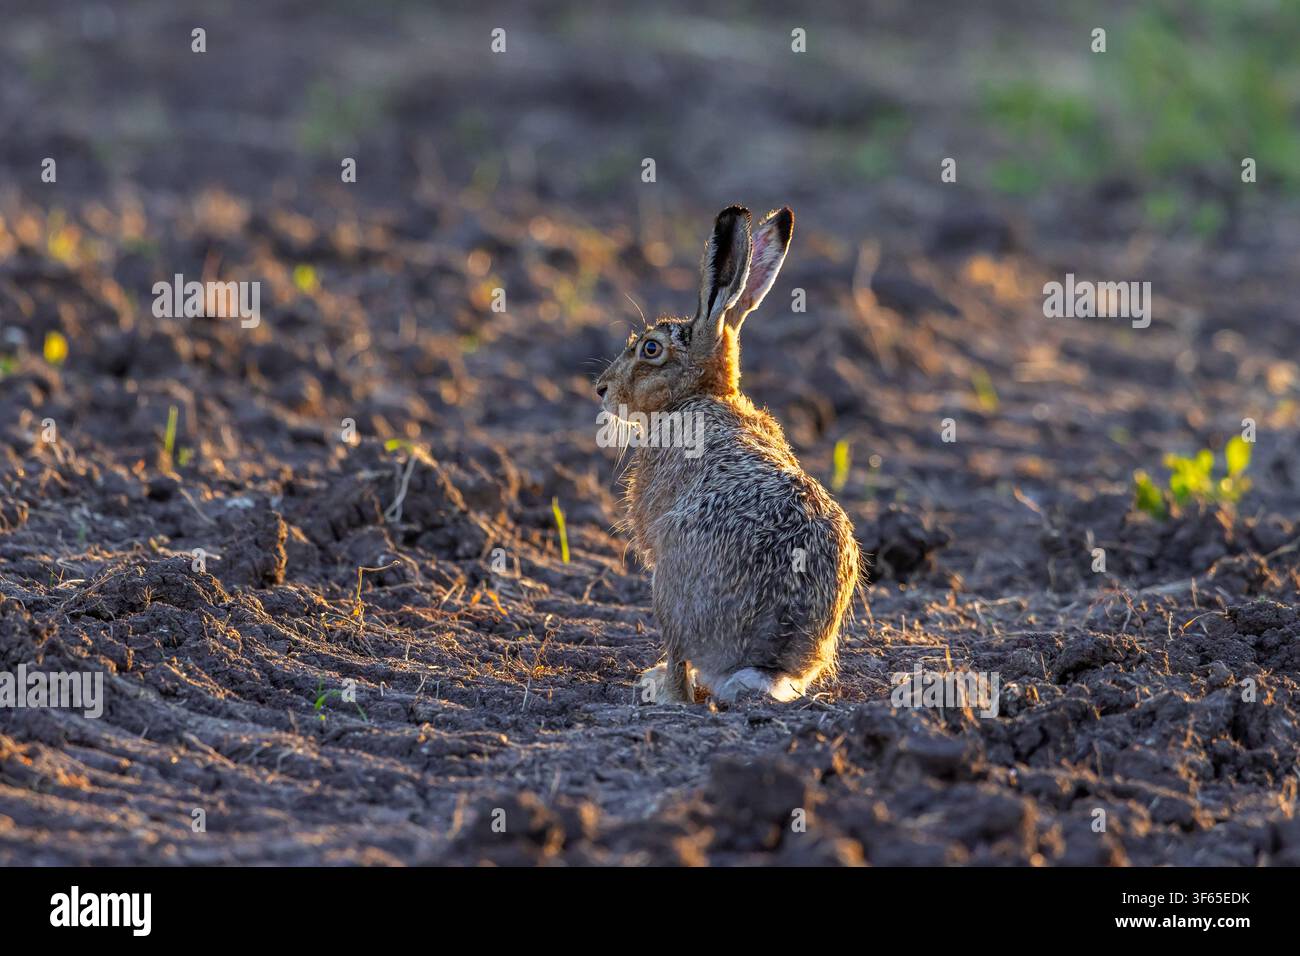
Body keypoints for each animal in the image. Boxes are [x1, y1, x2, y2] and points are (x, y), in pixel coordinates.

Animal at [594, 205, 860, 704]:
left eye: (650, 349)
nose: (602, 389)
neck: (702, 394)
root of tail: (762, 663)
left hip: (668, 590)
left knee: (681, 666)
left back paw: (659, 687)